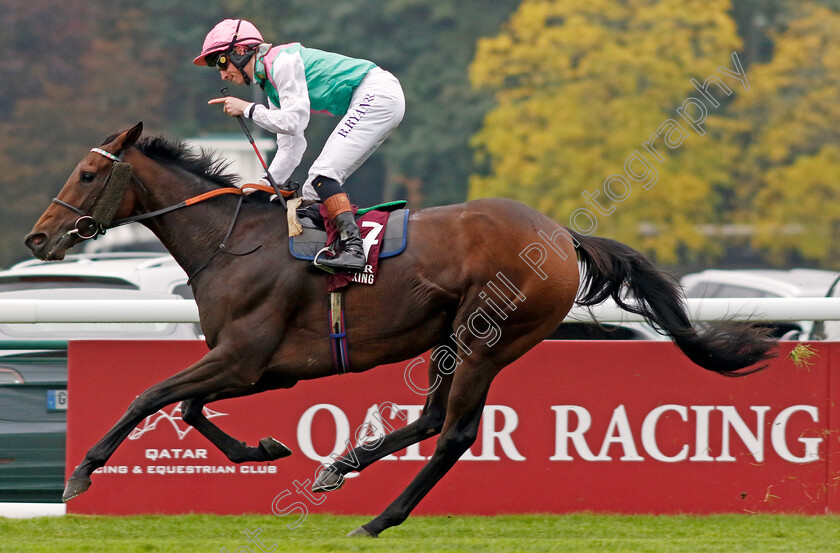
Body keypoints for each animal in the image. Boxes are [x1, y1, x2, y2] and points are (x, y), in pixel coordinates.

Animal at [24, 122, 776, 536]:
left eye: (87, 173)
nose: (37, 237)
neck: (231, 243)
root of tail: (563, 236)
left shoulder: (245, 357)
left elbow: (150, 396)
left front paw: (81, 474)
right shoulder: (261, 367)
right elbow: (187, 407)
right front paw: (264, 447)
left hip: (488, 339)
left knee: (454, 434)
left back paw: (378, 517)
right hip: (452, 338)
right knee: (429, 418)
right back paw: (341, 467)